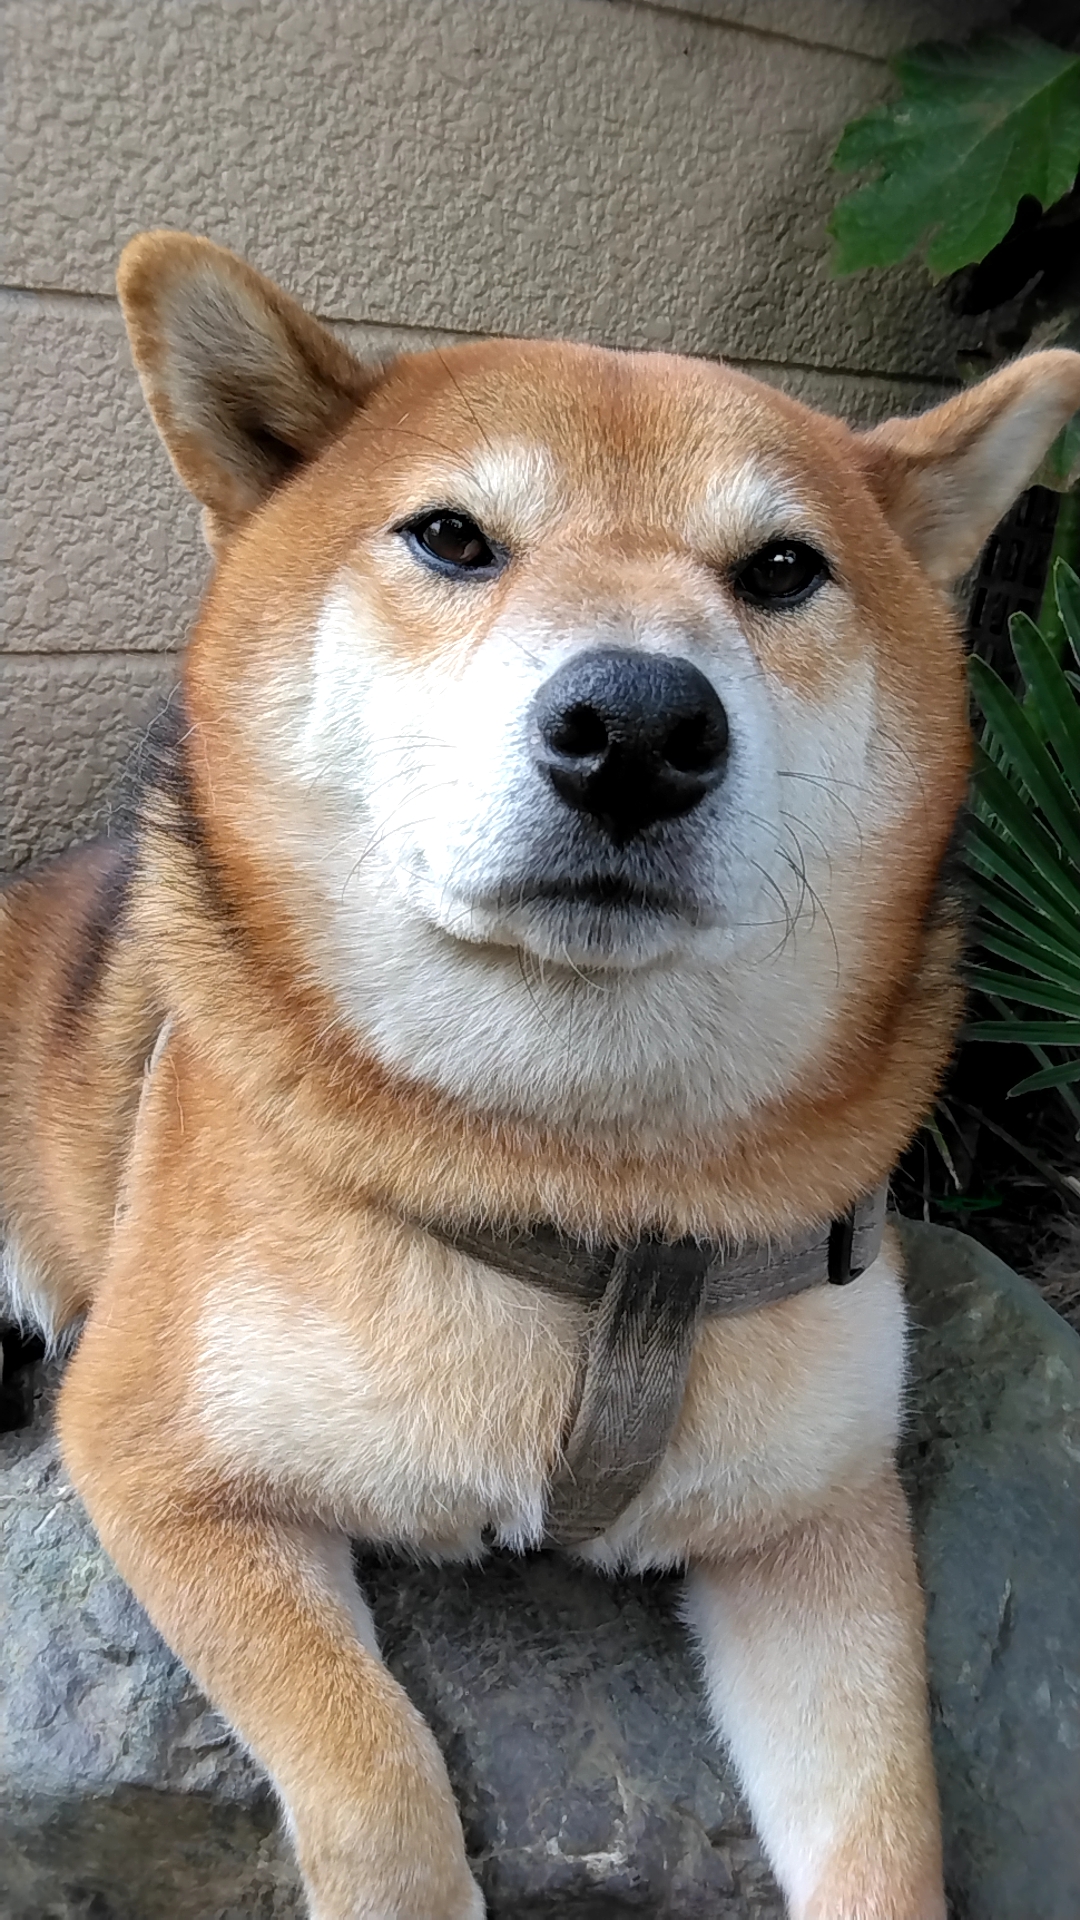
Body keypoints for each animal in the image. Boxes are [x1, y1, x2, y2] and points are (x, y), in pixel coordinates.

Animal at [3, 229, 1078, 1920]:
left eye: (782, 569)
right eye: (451, 537)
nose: (636, 725)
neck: (583, 1178)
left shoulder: (822, 1524)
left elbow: (890, 1846)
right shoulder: (156, 1450)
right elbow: (375, 1772)